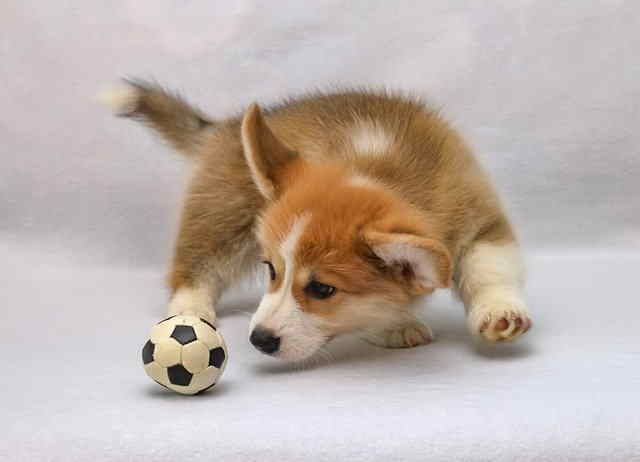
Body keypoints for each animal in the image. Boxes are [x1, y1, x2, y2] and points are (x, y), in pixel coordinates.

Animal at [102, 80, 532, 360]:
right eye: (271, 270)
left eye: (323, 289)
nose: (259, 341)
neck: (376, 167)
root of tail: (224, 127)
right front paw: (393, 324)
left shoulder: (479, 218)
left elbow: (489, 267)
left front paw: (500, 314)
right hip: (225, 215)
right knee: (197, 265)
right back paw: (190, 309)